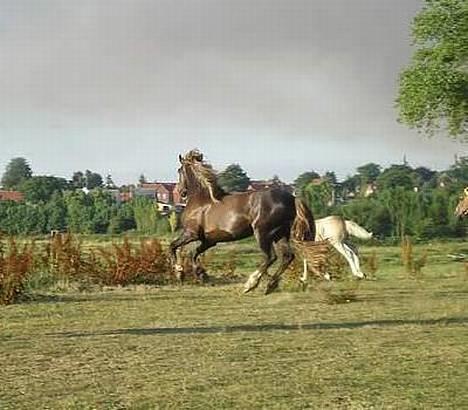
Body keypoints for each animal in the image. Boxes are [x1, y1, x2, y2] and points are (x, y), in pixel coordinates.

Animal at [167, 151, 314, 294]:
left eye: (179, 170)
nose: (181, 192)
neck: (202, 201)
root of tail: (292, 198)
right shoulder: (209, 240)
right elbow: (193, 253)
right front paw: (201, 275)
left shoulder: (191, 234)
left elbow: (173, 246)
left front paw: (179, 271)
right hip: (280, 234)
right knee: (287, 256)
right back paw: (270, 285)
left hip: (262, 233)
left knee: (271, 257)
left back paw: (250, 284)